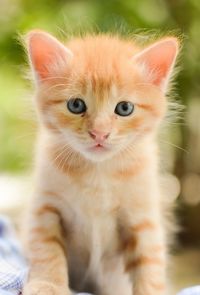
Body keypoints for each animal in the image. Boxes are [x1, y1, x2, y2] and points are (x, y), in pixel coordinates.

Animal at [22, 30, 180, 295]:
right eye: (76, 105)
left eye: (124, 108)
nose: (99, 133)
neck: (97, 173)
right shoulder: (45, 209)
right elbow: (47, 250)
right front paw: (48, 284)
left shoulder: (143, 219)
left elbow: (150, 263)